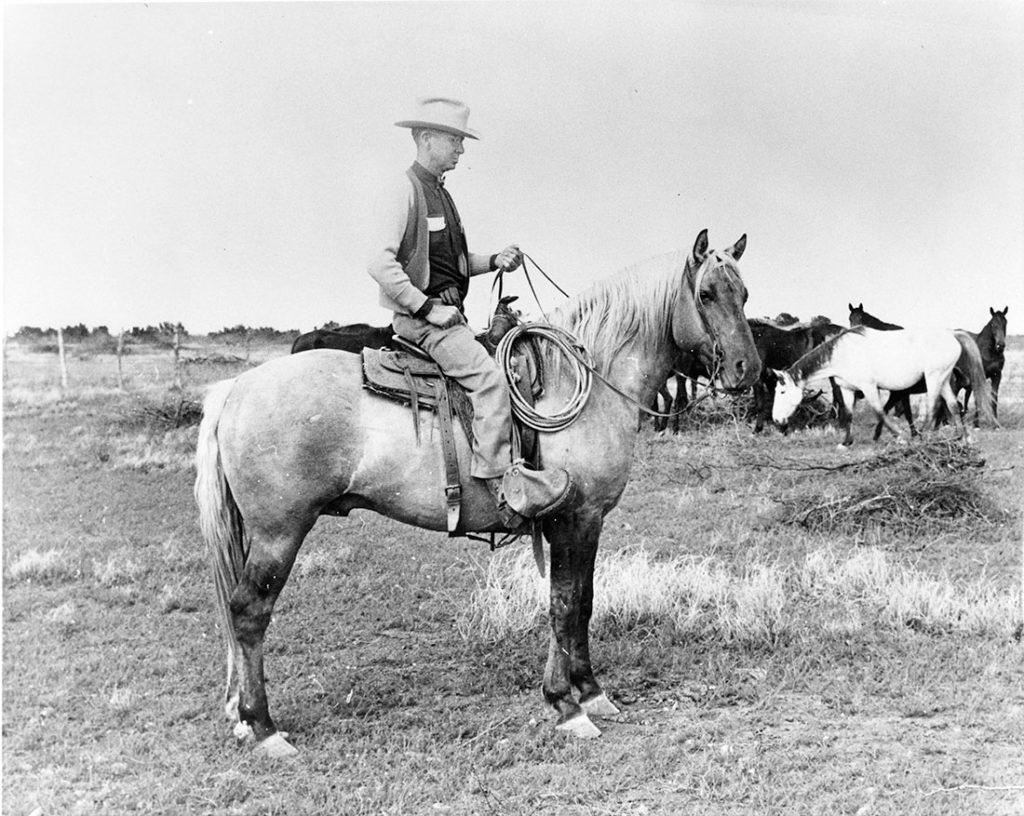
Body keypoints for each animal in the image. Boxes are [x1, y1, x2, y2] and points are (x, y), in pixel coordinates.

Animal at [194, 229, 762, 757]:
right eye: (706, 293)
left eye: (745, 293)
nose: (747, 370)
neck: (587, 379)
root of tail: (236, 389)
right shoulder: (574, 518)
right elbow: (564, 605)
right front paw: (566, 704)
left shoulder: (590, 519)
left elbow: (583, 603)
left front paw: (592, 691)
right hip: (279, 532)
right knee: (248, 612)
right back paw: (263, 726)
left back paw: (244, 717)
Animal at [772, 325, 992, 448]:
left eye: (782, 391)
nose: (776, 420)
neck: (843, 354)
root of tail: (953, 335)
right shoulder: (847, 389)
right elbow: (849, 414)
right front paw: (846, 442)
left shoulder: (869, 387)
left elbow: (880, 412)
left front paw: (899, 437)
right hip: (944, 379)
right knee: (953, 406)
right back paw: (964, 437)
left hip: (934, 378)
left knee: (933, 407)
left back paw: (924, 435)